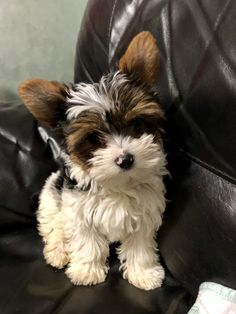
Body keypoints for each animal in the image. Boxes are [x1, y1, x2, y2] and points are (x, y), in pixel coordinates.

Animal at [18, 31, 167, 292]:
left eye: (137, 124)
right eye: (93, 138)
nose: (126, 159)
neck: (118, 184)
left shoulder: (145, 214)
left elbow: (140, 246)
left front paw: (144, 273)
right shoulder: (79, 213)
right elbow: (88, 244)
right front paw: (87, 272)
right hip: (51, 199)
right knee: (54, 227)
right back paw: (58, 251)